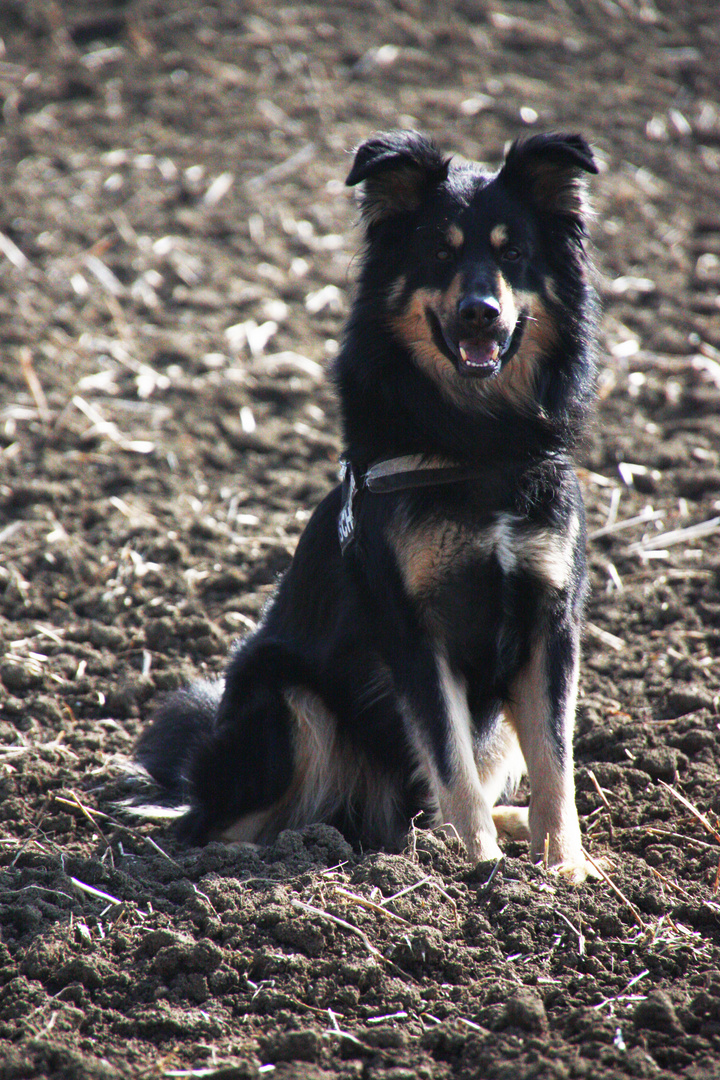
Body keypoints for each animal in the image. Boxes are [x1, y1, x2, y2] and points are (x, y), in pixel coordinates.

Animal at [138, 130, 600, 881]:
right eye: (438, 253)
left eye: (514, 254)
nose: (480, 312)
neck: (475, 441)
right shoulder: (413, 631)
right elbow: (451, 764)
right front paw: (481, 869)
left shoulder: (549, 622)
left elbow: (555, 764)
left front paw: (565, 871)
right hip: (285, 696)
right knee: (221, 827)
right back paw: (280, 855)